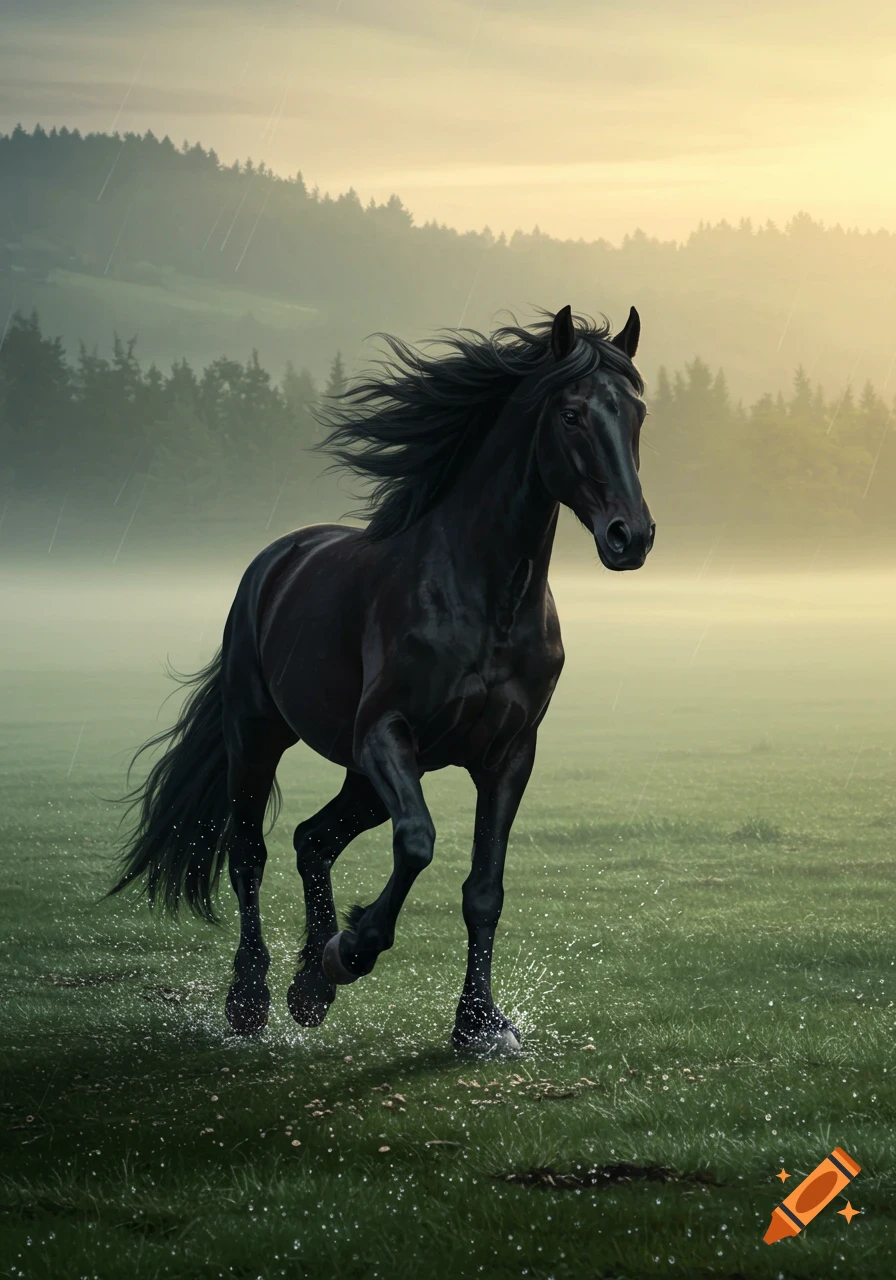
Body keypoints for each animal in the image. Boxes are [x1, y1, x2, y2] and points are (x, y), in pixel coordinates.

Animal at [109, 304, 654, 1054]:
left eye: (637, 414)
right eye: (571, 415)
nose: (631, 537)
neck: (485, 597)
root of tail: (276, 561)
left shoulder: (509, 756)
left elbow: (485, 890)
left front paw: (479, 1023)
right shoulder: (386, 734)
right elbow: (418, 841)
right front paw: (353, 949)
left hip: (363, 778)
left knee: (312, 840)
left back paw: (309, 989)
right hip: (259, 738)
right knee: (251, 853)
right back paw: (253, 998)